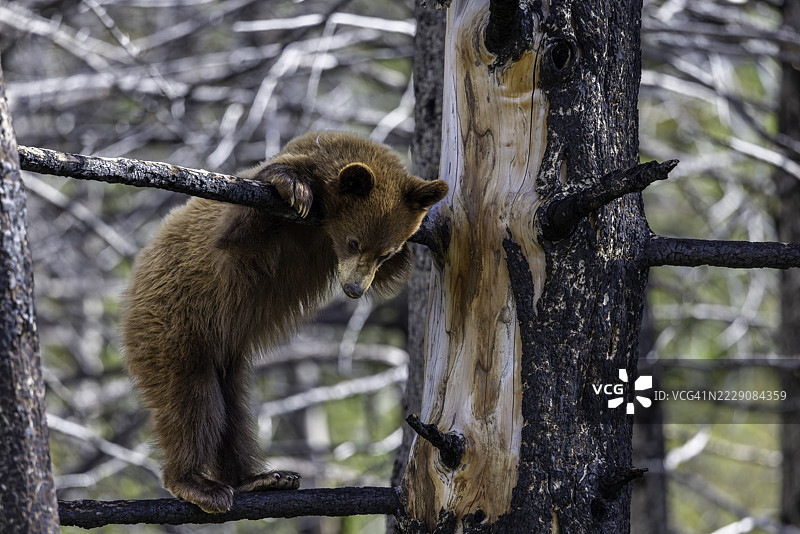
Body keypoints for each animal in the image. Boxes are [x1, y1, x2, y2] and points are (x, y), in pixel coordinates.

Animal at [121, 130, 449, 513]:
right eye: (354, 241)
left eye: (386, 251)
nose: (354, 290)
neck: (323, 231)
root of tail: (134, 283)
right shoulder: (256, 230)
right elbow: (237, 236)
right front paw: (293, 187)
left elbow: (388, 275)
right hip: (174, 320)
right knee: (189, 399)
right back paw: (196, 484)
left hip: (228, 358)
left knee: (233, 412)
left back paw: (260, 477)